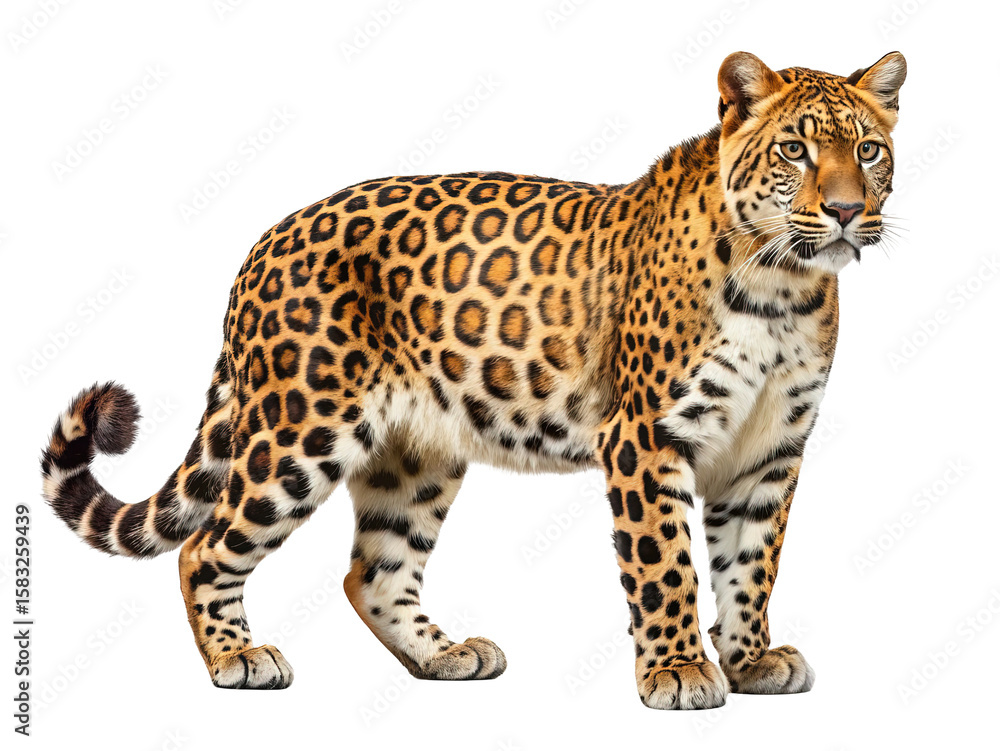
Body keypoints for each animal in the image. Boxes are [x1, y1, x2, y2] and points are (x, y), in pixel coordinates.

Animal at [41, 51, 906, 709]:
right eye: (794, 150)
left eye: (868, 151)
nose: (844, 209)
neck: (785, 288)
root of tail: (264, 241)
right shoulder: (646, 435)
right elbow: (666, 562)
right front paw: (679, 669)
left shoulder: (770, 450)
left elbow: (750, 561)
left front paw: (752, 658)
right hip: (297, 430)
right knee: (204, 548)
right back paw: (237, 658)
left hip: (415, 455)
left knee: (372, 572)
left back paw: (444, 654)